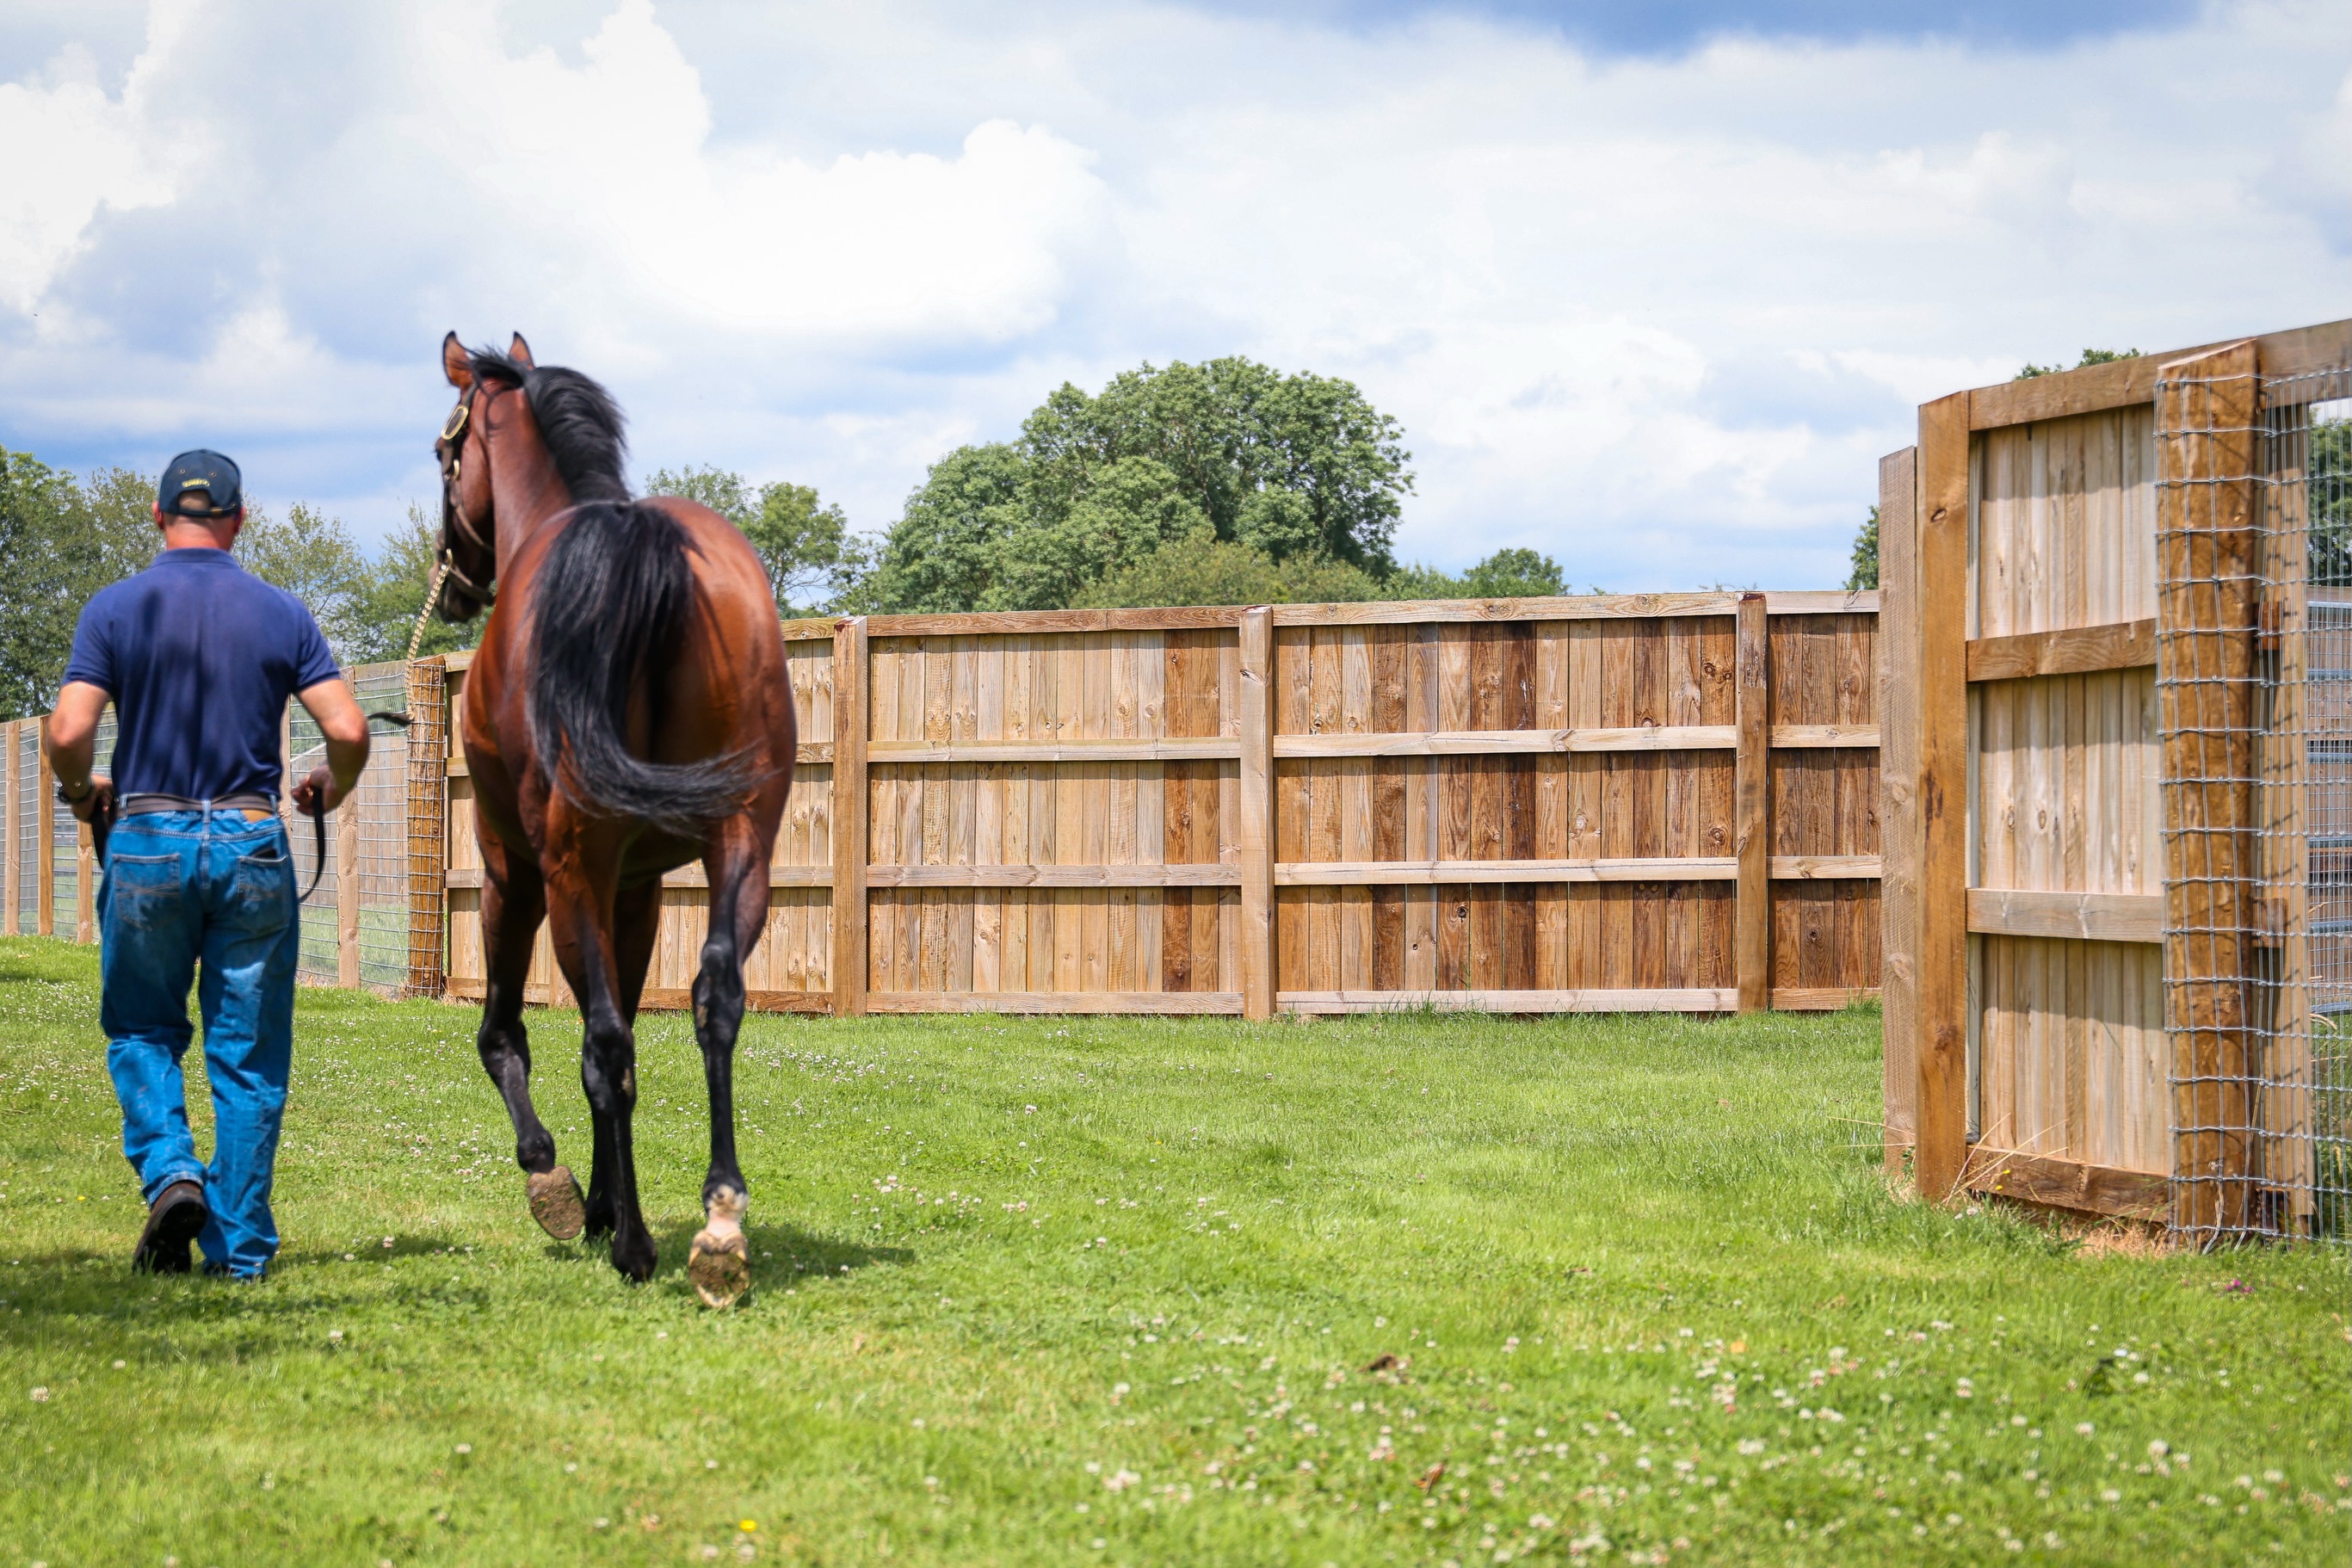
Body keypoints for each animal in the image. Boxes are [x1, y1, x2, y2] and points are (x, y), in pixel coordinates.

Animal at [430, 331, 797, 1306]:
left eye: (445, 453)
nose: (454, 581)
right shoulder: (635, 892)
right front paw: (601, 1198)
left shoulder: (516, 875)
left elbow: (510, 1033)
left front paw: (560, 1187)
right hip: (740, 842)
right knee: (713, 997)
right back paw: (719, 1219)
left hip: (560, 870)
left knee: (599, 1042)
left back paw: (634, 1243)